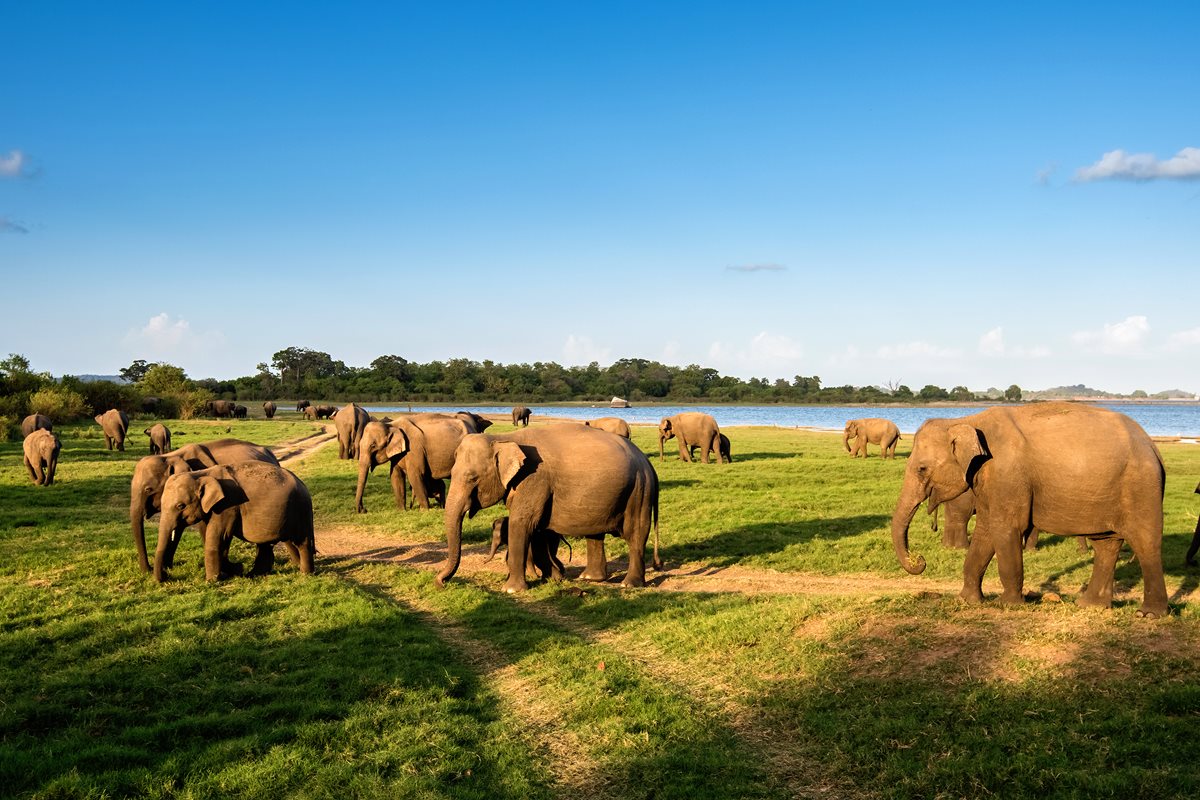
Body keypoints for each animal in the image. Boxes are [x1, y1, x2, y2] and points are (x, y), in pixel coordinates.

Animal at [129, 438, 278, 575]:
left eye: (148, 489)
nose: (148, 570)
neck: (170, 456)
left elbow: (204, 527)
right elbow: (177, 528)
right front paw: (167, 567)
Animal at [154, 460, 314, 585]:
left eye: (180, 506)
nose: (167, 576)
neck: (202, 474)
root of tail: (303, 484)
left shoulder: (228, 505)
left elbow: (219, 537)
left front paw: (212, 581)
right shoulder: (213, 508)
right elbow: (212, 537)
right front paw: (235, 570)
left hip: (301, 510)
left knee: (302, 542)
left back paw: (305, 574)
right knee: (265, 544)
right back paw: (254, 575)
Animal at [439, 429, 667, 592]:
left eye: (472, 478)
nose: (441, 582)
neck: (504, 438)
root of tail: (648, 464)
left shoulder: (534, 479)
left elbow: (521, 523)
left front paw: (511, 590)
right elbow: (538, 528)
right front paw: (553, 578)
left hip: (639, 491)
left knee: (635, 533)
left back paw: (629, 584)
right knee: (595, 534)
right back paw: (589, 578)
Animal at [897, 402, 1166, 618]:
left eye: (921, 468)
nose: (920, 560)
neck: (967, 419)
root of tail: (1152, 446)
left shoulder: (1008, 475)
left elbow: (1006, 528)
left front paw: (1008, 604)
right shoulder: (988, 480)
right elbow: (985, 530)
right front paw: (967, 600)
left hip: (1141, 489)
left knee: (1145, 543)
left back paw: (1148, 614)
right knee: (1106, 545)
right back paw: (1090, 605)